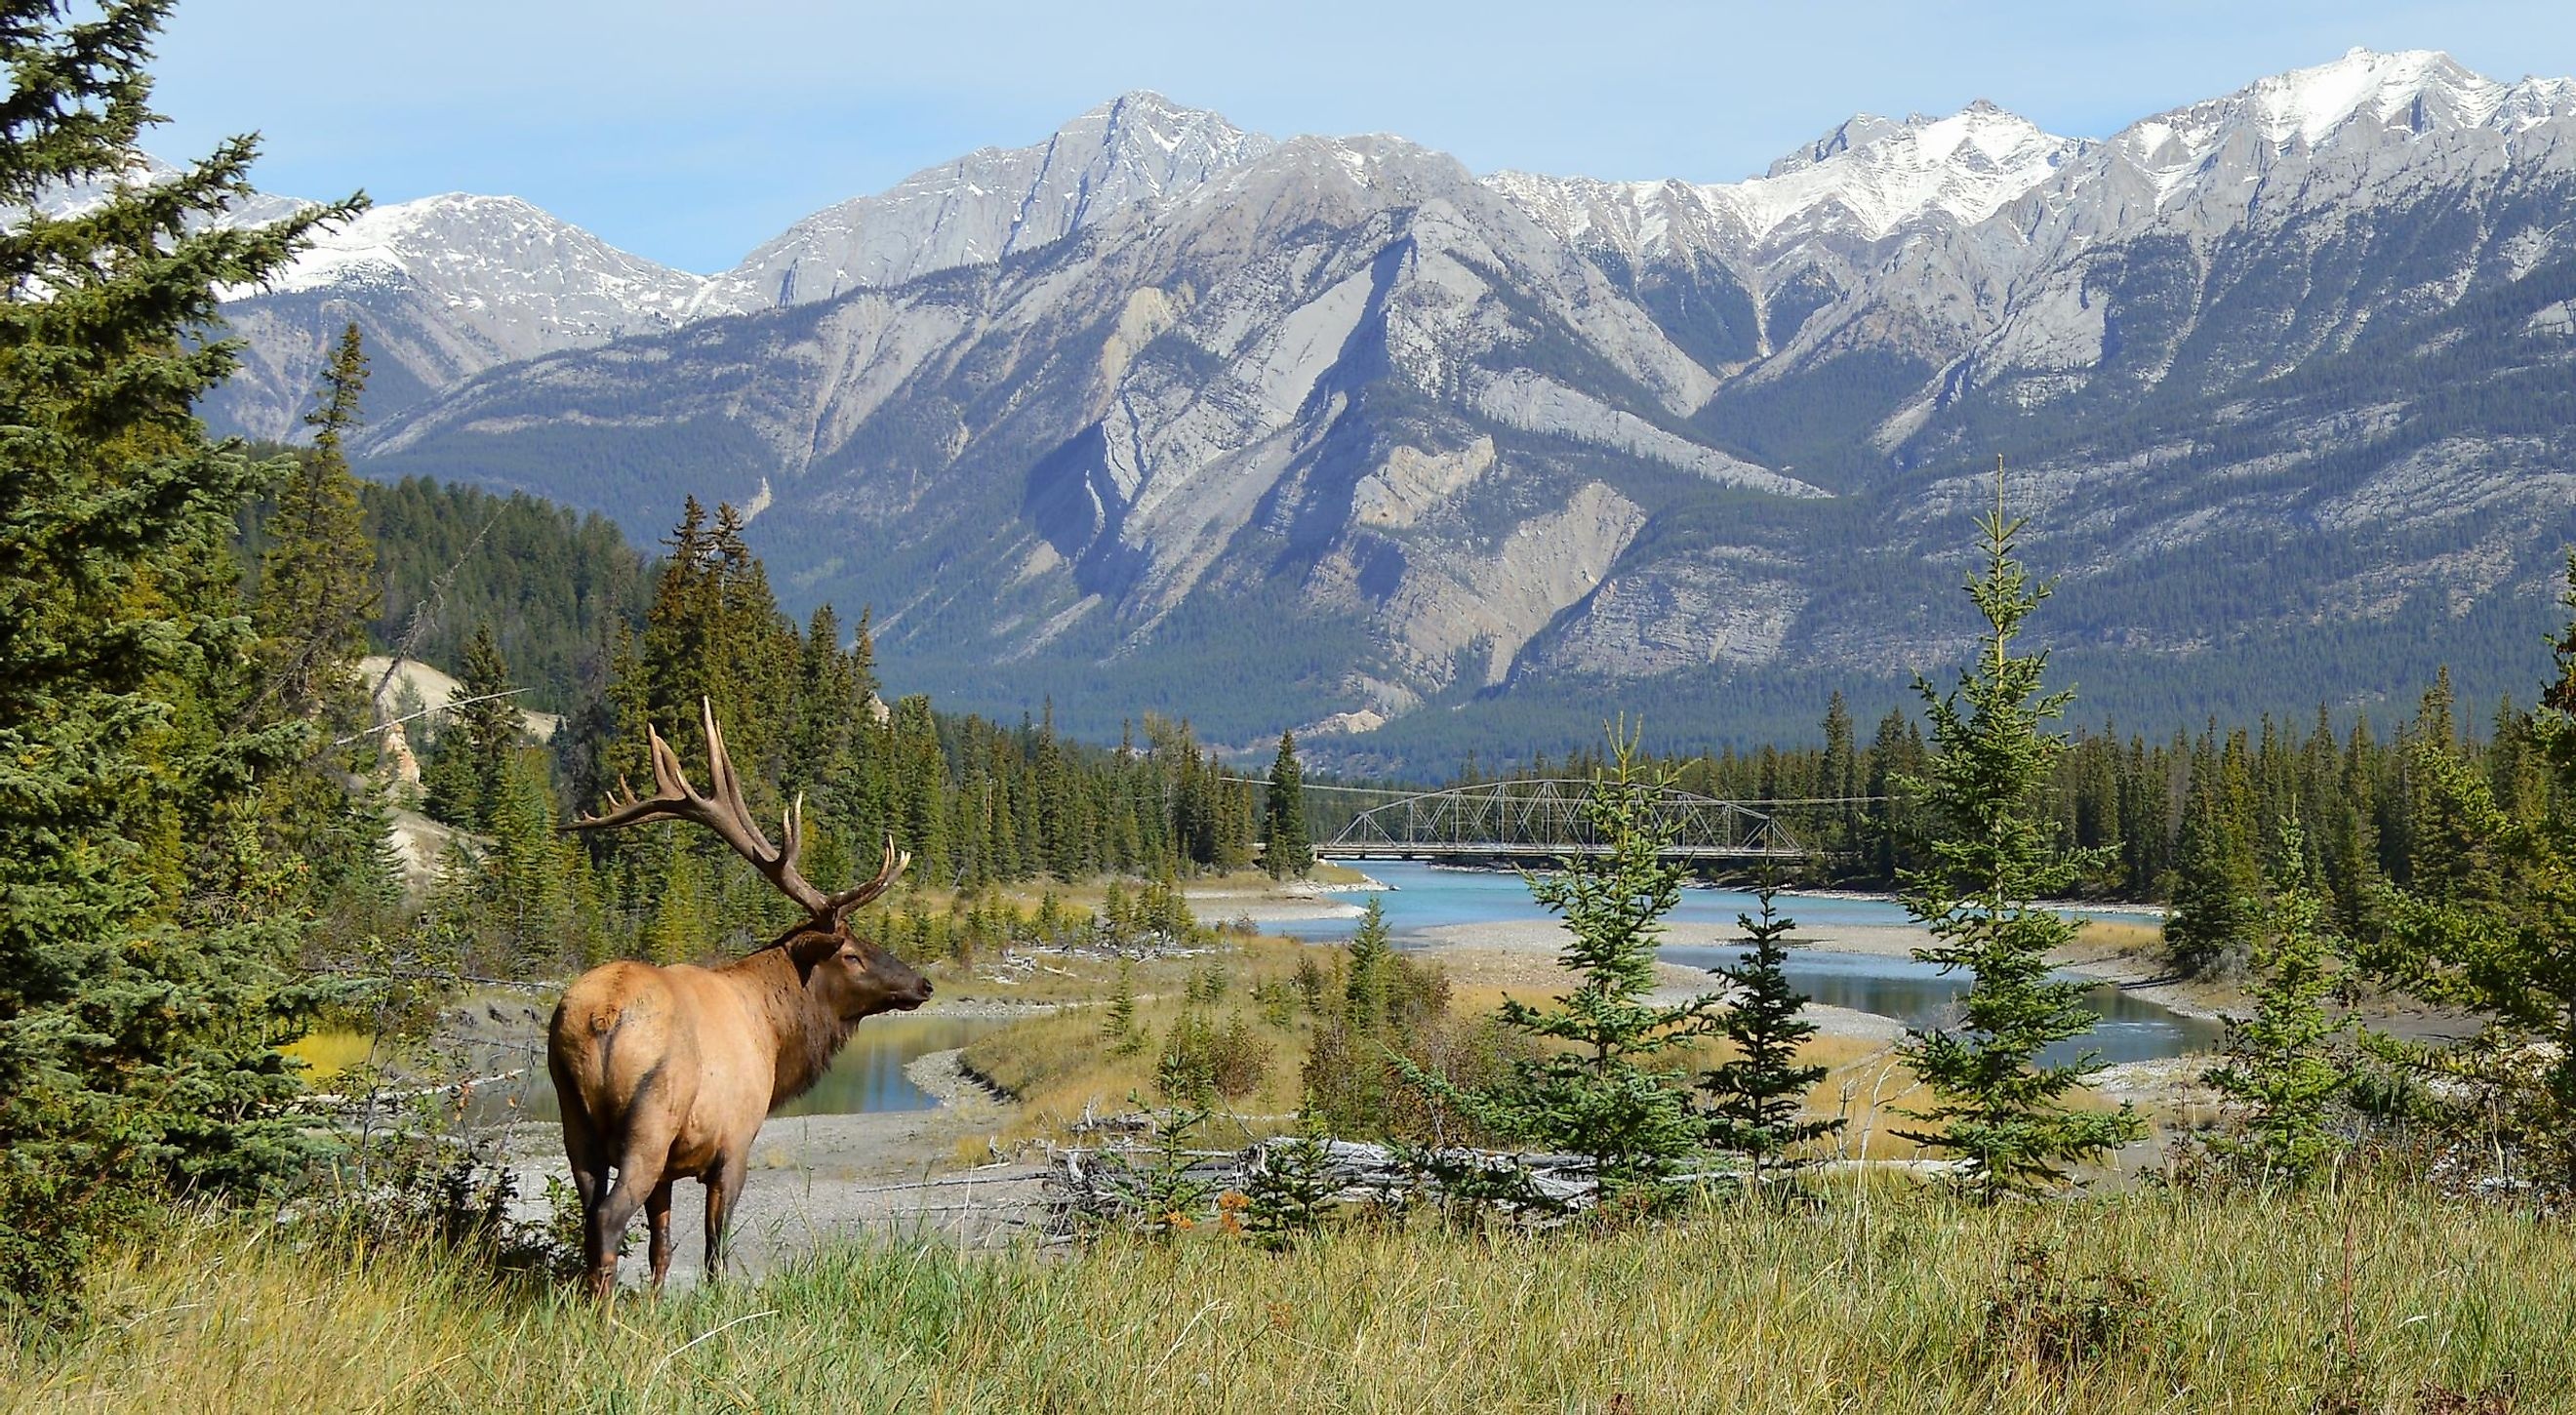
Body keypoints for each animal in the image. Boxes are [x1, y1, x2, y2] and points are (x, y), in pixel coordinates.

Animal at [548, 701, 932, 1299]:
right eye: (851, 954)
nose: (923, 984)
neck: (774, 1033)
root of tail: (600, 1017)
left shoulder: (670, 1169)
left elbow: (661, 1249)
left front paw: (655, 1307)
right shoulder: (733, 1146)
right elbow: (714, 1252)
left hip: (574, 1120)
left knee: (591, 1215)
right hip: (649, 1120)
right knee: (609, 1218)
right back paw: (603, 1314)